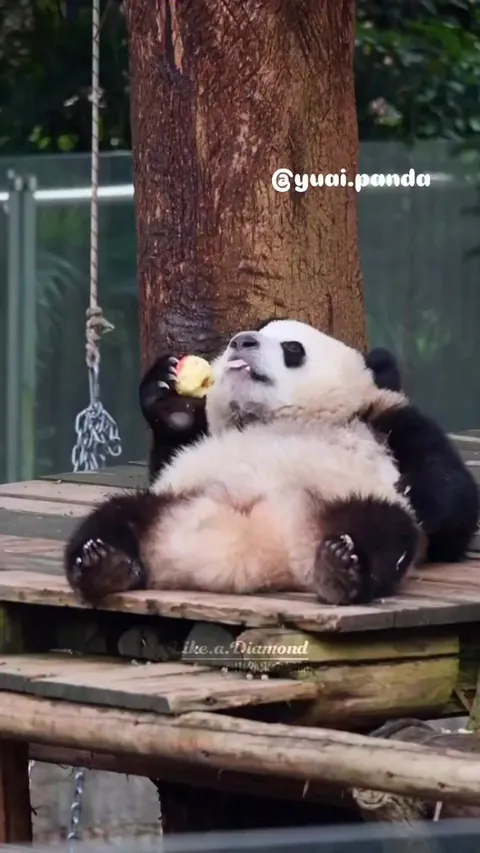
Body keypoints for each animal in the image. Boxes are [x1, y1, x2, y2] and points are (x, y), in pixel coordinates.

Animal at [64, 319, 479, 607]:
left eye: (292, 348)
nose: (241, 341)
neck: (280, 418)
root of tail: (250, 556)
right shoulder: (198, 445)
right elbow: (169, 454)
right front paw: (169, 397)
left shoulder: (386, 420)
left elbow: (452, 509)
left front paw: (417, 493)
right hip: (174, 502)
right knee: (113, 515)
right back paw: (103, 563)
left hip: (341, 502)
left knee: (386, 529)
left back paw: (342, 567)